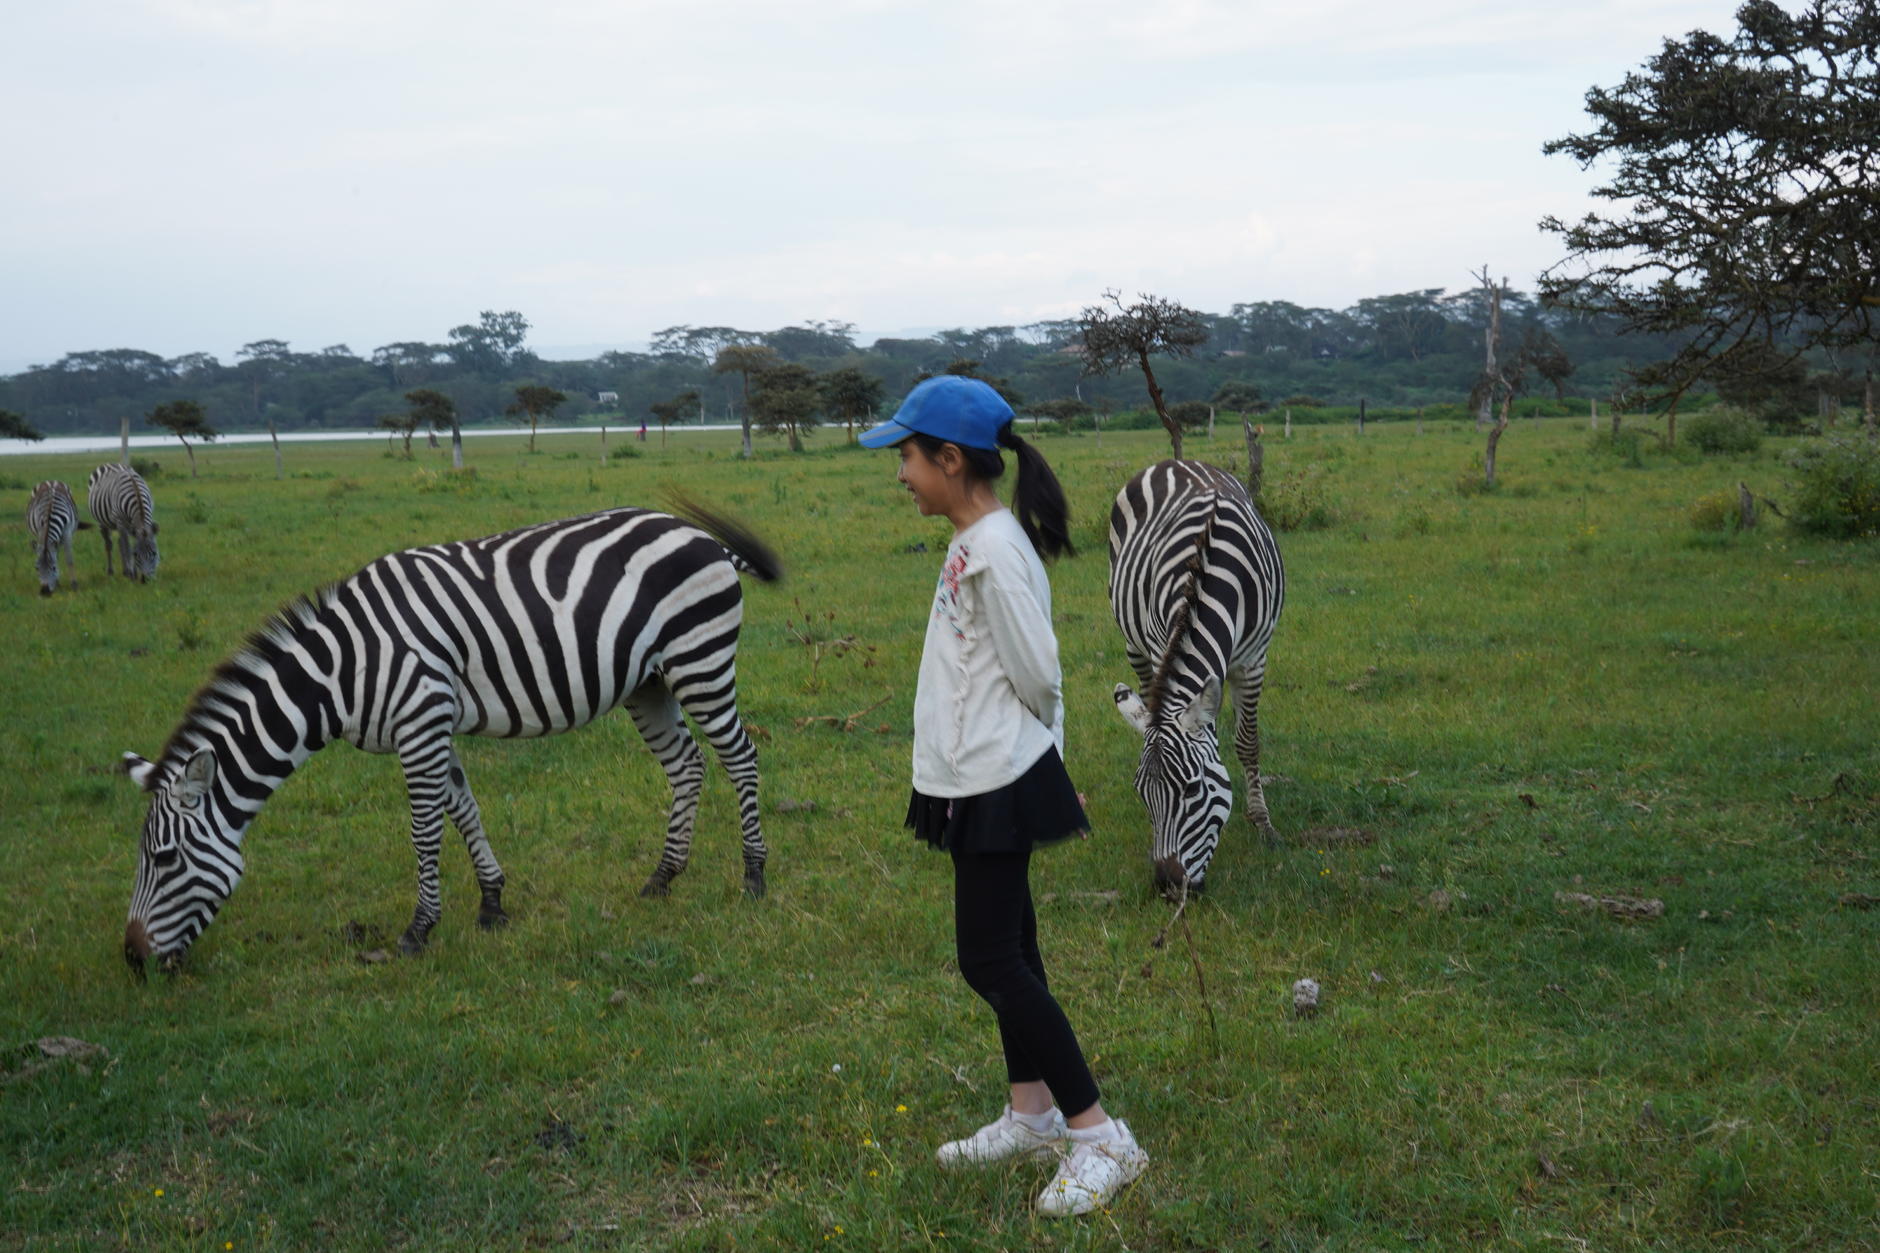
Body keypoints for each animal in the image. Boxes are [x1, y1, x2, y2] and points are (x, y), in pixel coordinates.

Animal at [117, 496, 782, 963]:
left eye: (166, 858)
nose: (132, 959)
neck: (342, 670)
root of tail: (700, 537)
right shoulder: (431, 725)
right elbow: (464, 809)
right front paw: (492, 903)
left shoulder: (419, 720)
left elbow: (424, 829)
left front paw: (418, 930)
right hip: (649, 682)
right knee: (687, 764)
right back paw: (663, 877)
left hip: (699, 659)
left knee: (741, 756)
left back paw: (753, 875)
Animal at [1105, 459, 1285, 899]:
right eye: (1141, 794)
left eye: (1191, 790)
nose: (1170, 889)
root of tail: (1173, 462)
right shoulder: (1161, 645)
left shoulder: (1253, 660)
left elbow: (1247, 742)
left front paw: (1263, 823)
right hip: (1133, 642)